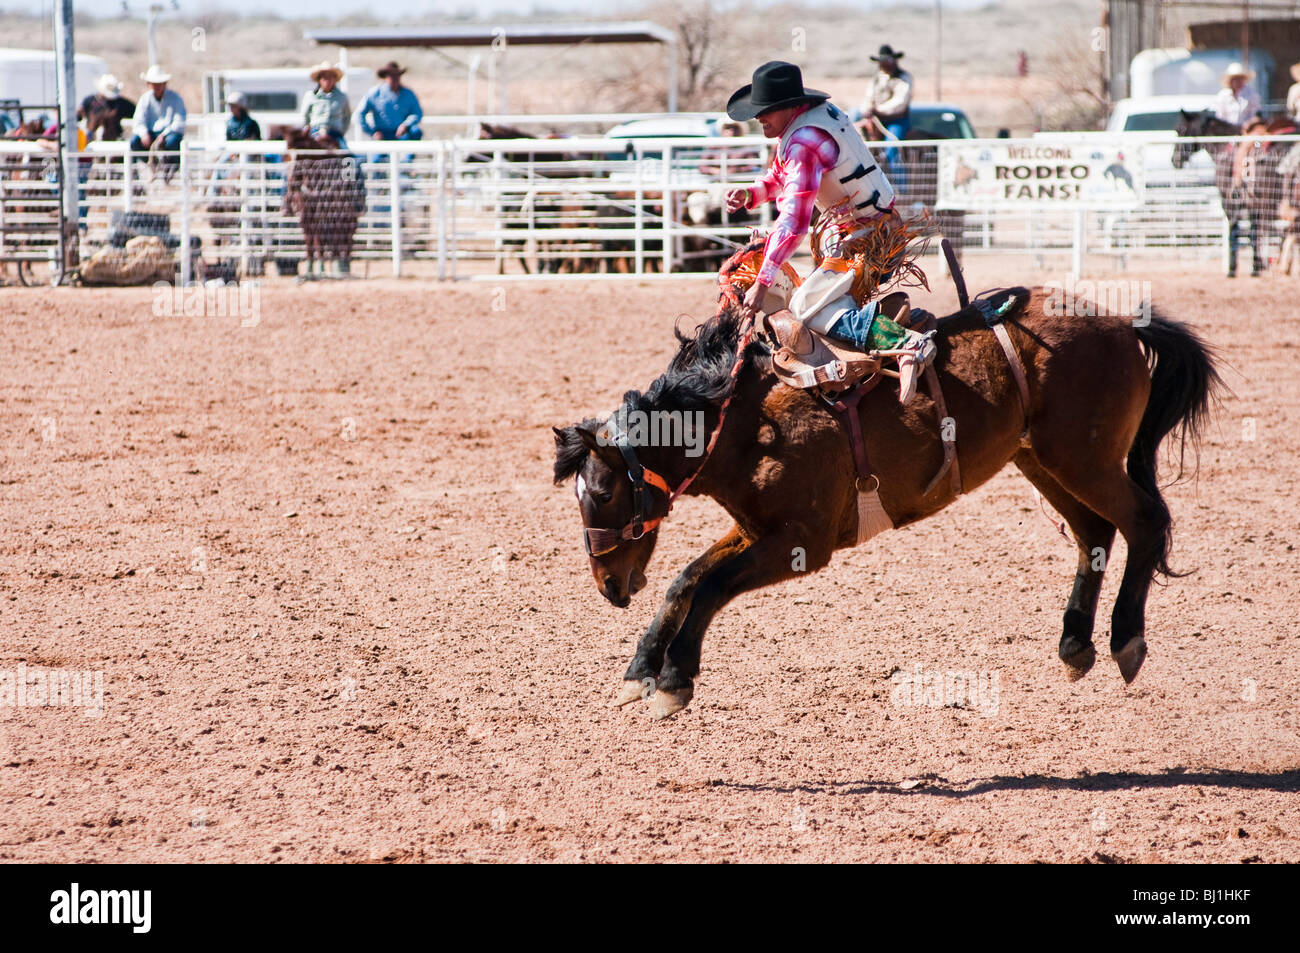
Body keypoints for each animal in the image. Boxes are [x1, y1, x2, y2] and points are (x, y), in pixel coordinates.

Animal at [553, 256, 1222, 717]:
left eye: (604, 492)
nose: (608, 585)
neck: (745, 422)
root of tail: (1122, 321)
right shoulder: (755, 529)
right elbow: (687, 578)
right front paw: (640, 669)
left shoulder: (801, 544)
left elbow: (711, 585)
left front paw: (673, 680)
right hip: (1042, 461)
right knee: (1094, 533)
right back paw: (1075, 645)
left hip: (1086, 461)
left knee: (1143, 523)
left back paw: (1125, 640)